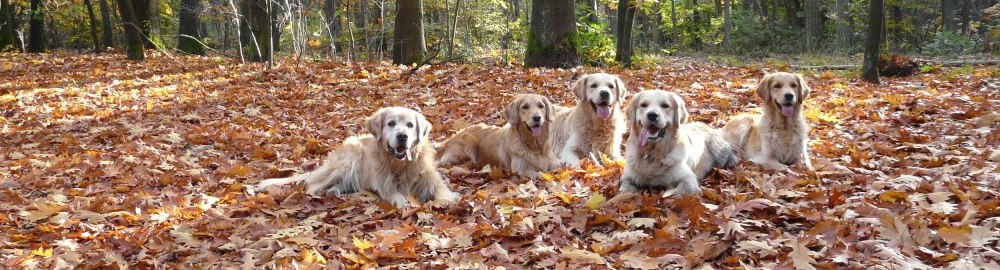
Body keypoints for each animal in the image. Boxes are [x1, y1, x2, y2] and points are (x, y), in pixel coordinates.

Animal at [258, 107, 460, 207]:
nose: (402, 136)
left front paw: (448, 200)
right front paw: (403, 201)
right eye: (391, 123)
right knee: (311, 187)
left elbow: (442, 192)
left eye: (410, 125)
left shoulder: (430, 179)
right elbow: (393, 193)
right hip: (351, 154)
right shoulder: (384, 182)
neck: (399, 164)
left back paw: (333, 192)